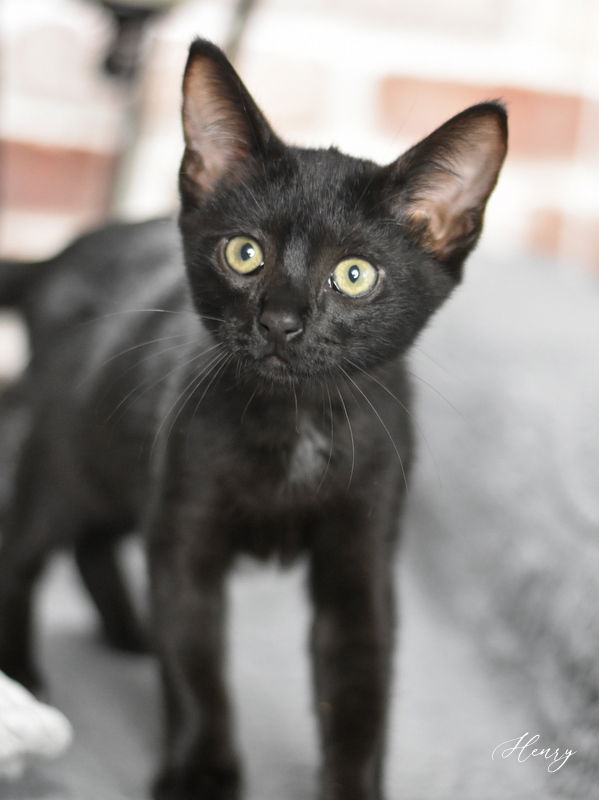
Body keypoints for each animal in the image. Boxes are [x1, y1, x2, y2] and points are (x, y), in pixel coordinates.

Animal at [0, 40, 506, 800]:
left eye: (355, 275)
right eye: (244, 253)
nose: (281, 321)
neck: (295, 427)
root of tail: (63, 253)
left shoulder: (362, 551)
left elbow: (360, 683)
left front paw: (353, 784)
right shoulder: (186, 530)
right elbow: (197, 667)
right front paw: (202, 775)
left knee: (94, 543)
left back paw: (128, 634)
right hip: (67, 452)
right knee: (26, 550)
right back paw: (28, 678)